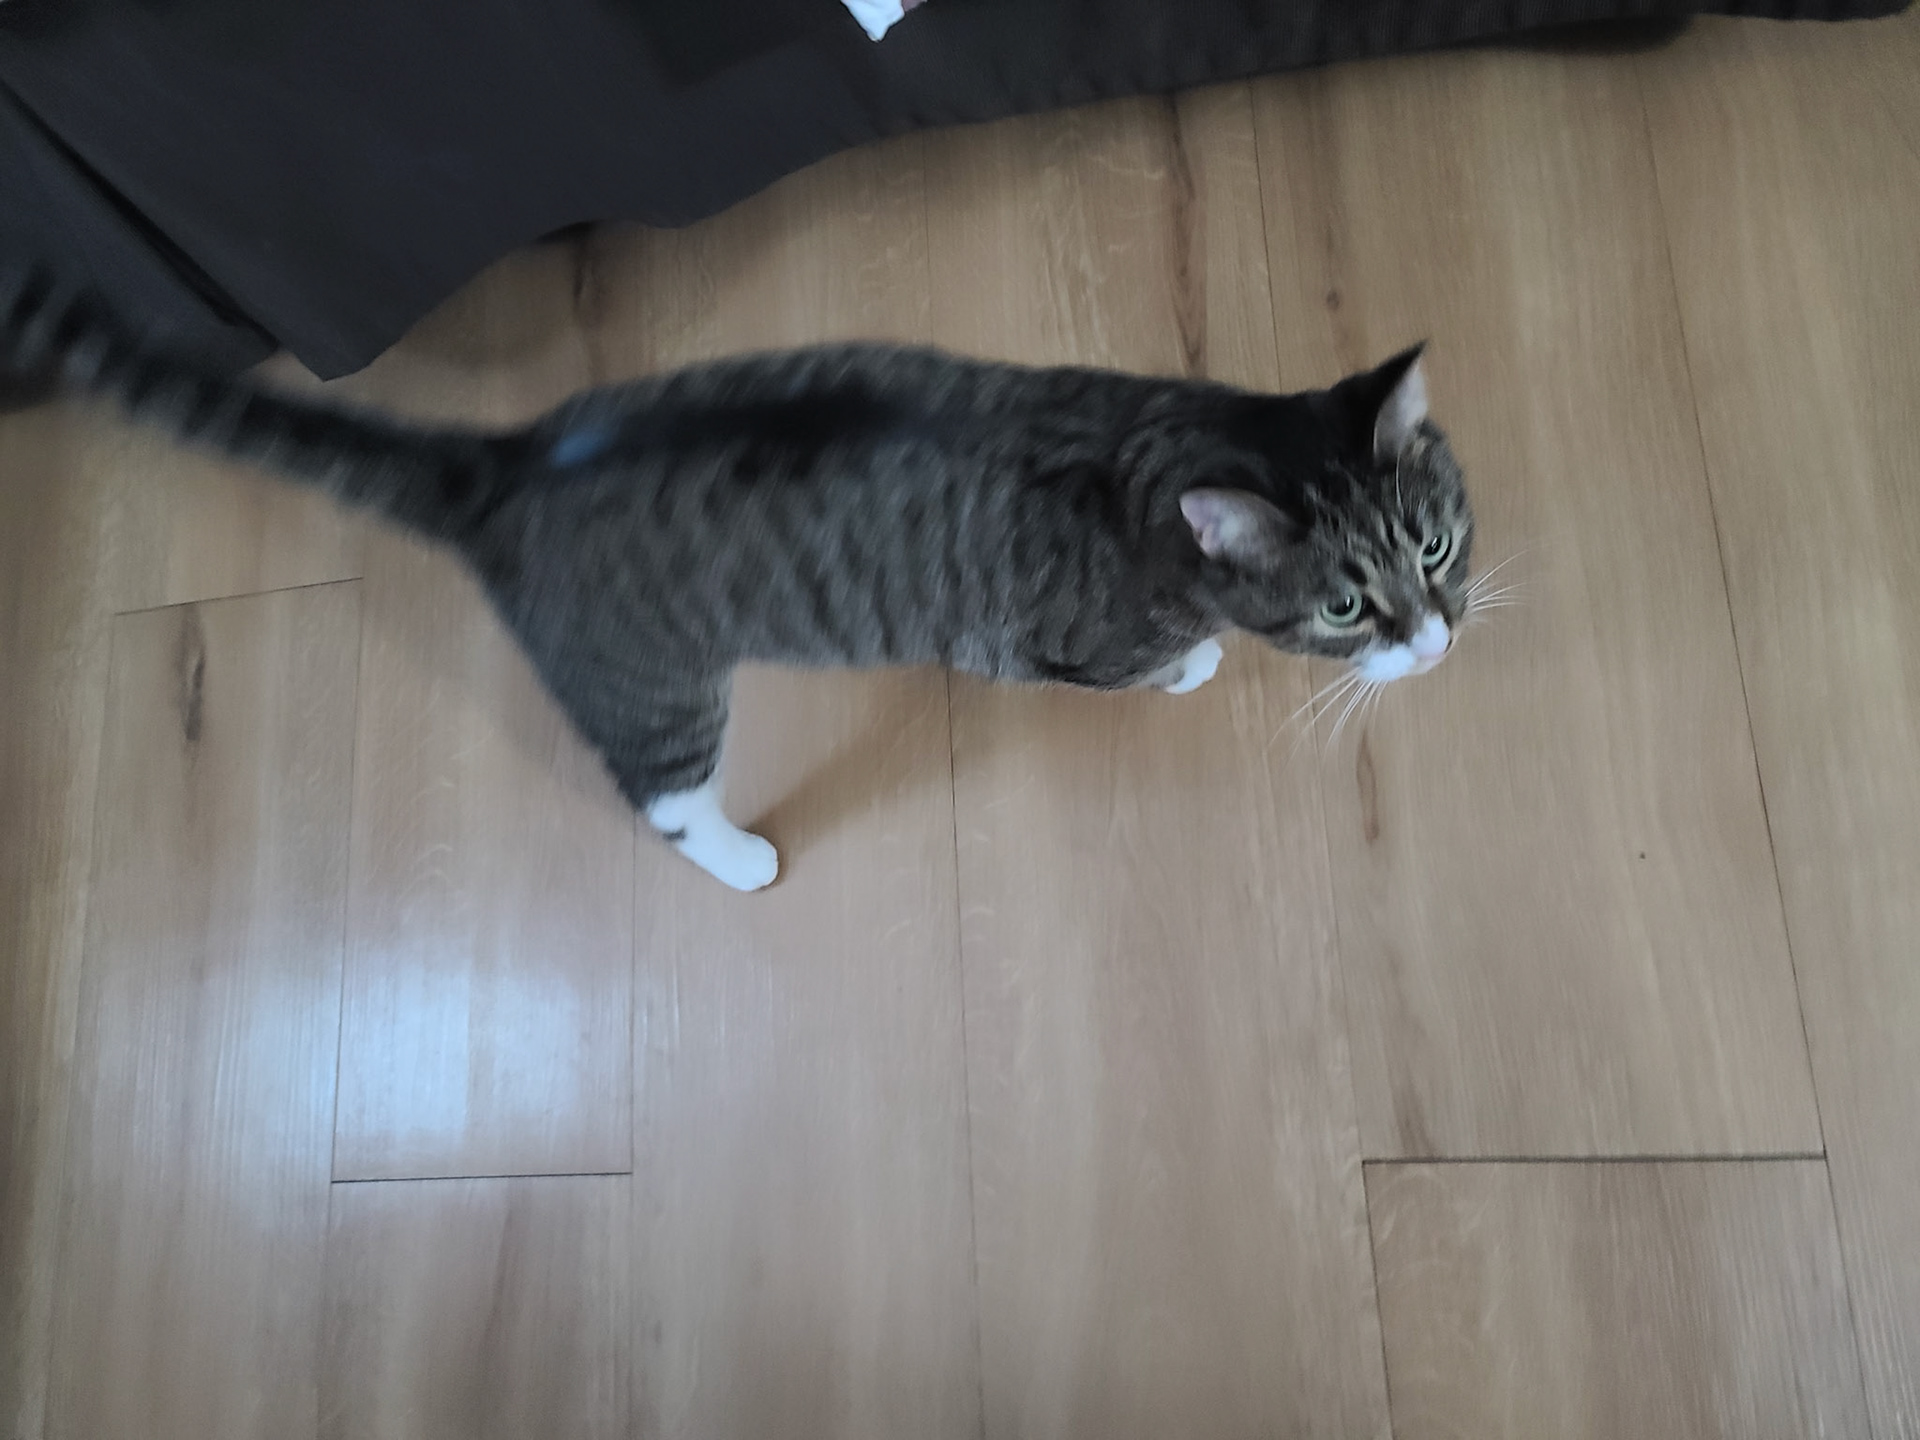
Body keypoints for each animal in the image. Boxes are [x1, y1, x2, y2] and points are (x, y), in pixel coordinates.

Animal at [2, 269, 1475, 890]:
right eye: (1344, 605)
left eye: (1437, 546)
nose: (1438, 640)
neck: (1158, 446)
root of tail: (506, 463)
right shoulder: (1041, 642)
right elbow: (1141, 662)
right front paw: (1195, 664)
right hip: (655, 694)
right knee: (659, 800)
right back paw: (735, 856)